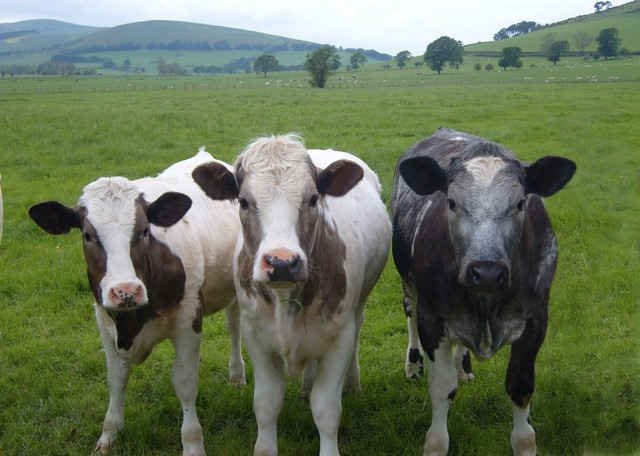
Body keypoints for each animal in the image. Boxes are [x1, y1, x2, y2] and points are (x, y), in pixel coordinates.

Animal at [26, 151, 245, 456]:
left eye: (143, 231)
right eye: (87, 235)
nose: (125, 291)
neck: (132, 321)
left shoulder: (189, 318)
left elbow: (185, 382)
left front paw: (192, 443)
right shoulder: (103, 319)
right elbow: (117, 378)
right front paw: (108, 434)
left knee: (235, 327)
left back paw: (237, 375)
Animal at [191, 135, 390, 456]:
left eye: (313, 199)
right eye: (244, 201)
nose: (282, 262)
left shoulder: (340, 337)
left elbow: (326, 408)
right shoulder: (256, 337)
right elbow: (266, 405)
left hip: (358, 307)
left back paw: (352, 381)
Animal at [390, 129, 576, 456]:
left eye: (520, 203)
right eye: (451, 202)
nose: (486, 272)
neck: (487, 305)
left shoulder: (536, 320)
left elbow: (520, 386)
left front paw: (524, 442)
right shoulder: (432, 318)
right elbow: (442, 388)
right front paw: (436, 443)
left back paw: (464, 367)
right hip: (409, 286)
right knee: (409, 315)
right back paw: (413, 364)